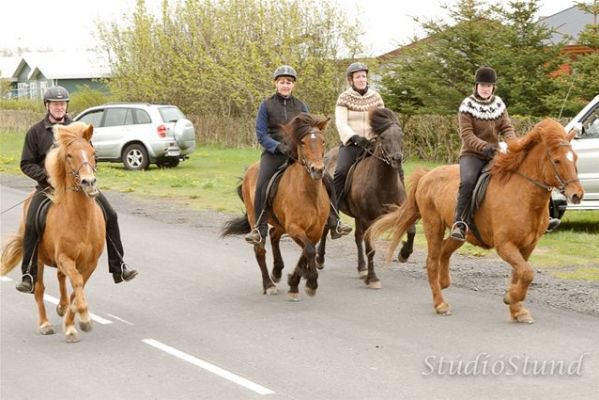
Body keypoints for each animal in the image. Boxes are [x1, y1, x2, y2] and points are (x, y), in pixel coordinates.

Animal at [0, 122, 105, 340]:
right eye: (69, 155)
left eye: (93, 153)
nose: (89, 183)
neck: (81, 221)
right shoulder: (64, 257)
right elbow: (77, 282)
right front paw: (83, 318)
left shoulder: (90, 263)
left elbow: (76, 288)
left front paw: (71, 322)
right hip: (38, 260)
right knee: (39, 290)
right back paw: (45, 324)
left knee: (61, 278)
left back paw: (62, 307)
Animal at [221, 112, 330, 300]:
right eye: (303, 142)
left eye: (322, 141)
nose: (318, 170)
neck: (310, 195)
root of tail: (249, 170)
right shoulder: (294, 228)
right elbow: (309, 250)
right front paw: (310, 283)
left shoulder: (315, 231)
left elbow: (306, 251)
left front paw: (294, 282)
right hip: (256, 219)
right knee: (260, 249)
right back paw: (269, 285)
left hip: (280, 223)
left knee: (273, 236)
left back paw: (277, 271)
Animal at [318, 107, 418, 288]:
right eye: (383, 137)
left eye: (401, 135)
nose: (397, 159)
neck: (383, 183)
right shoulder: (368, 218)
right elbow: (370, 247)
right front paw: (373, 278)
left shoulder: (397, 212)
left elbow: (411, 229)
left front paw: (404, 254)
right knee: (326, 229)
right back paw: (320, 259)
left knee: (357, 238)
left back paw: (362, 268)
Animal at [368, 119, 584, 322]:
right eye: (557, 160)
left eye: (575, 158)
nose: (577, 195)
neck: (524, 195)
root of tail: (426, 175)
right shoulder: (505, 245)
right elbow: (527, 273)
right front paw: (510, 298)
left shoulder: (527, 246)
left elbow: (520, 274)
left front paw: (517, 310)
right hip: (433, 224)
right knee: (432, 262)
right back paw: (440, 304)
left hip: (460, 233)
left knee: (444, 251)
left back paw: (443, 282)